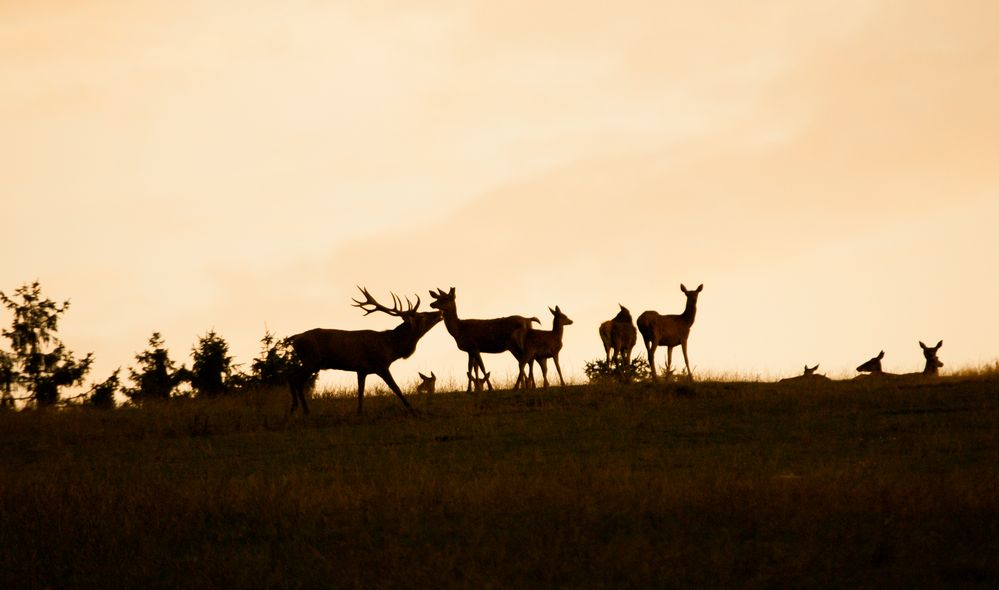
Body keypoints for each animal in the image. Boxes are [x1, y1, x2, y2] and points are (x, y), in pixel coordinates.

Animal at [290, 288, 446, 416]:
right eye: (422, 316)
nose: (440, 312)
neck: (391, 348)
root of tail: (295, 339)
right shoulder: (381, 365)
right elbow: (396, 388)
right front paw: (413, 411)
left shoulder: (361, 370)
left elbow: (360, 393)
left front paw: (359, 413)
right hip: (311, 360)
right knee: (295, 378)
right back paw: (303, 410)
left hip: (309, 362)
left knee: (293, 377)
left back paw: (297, 409)